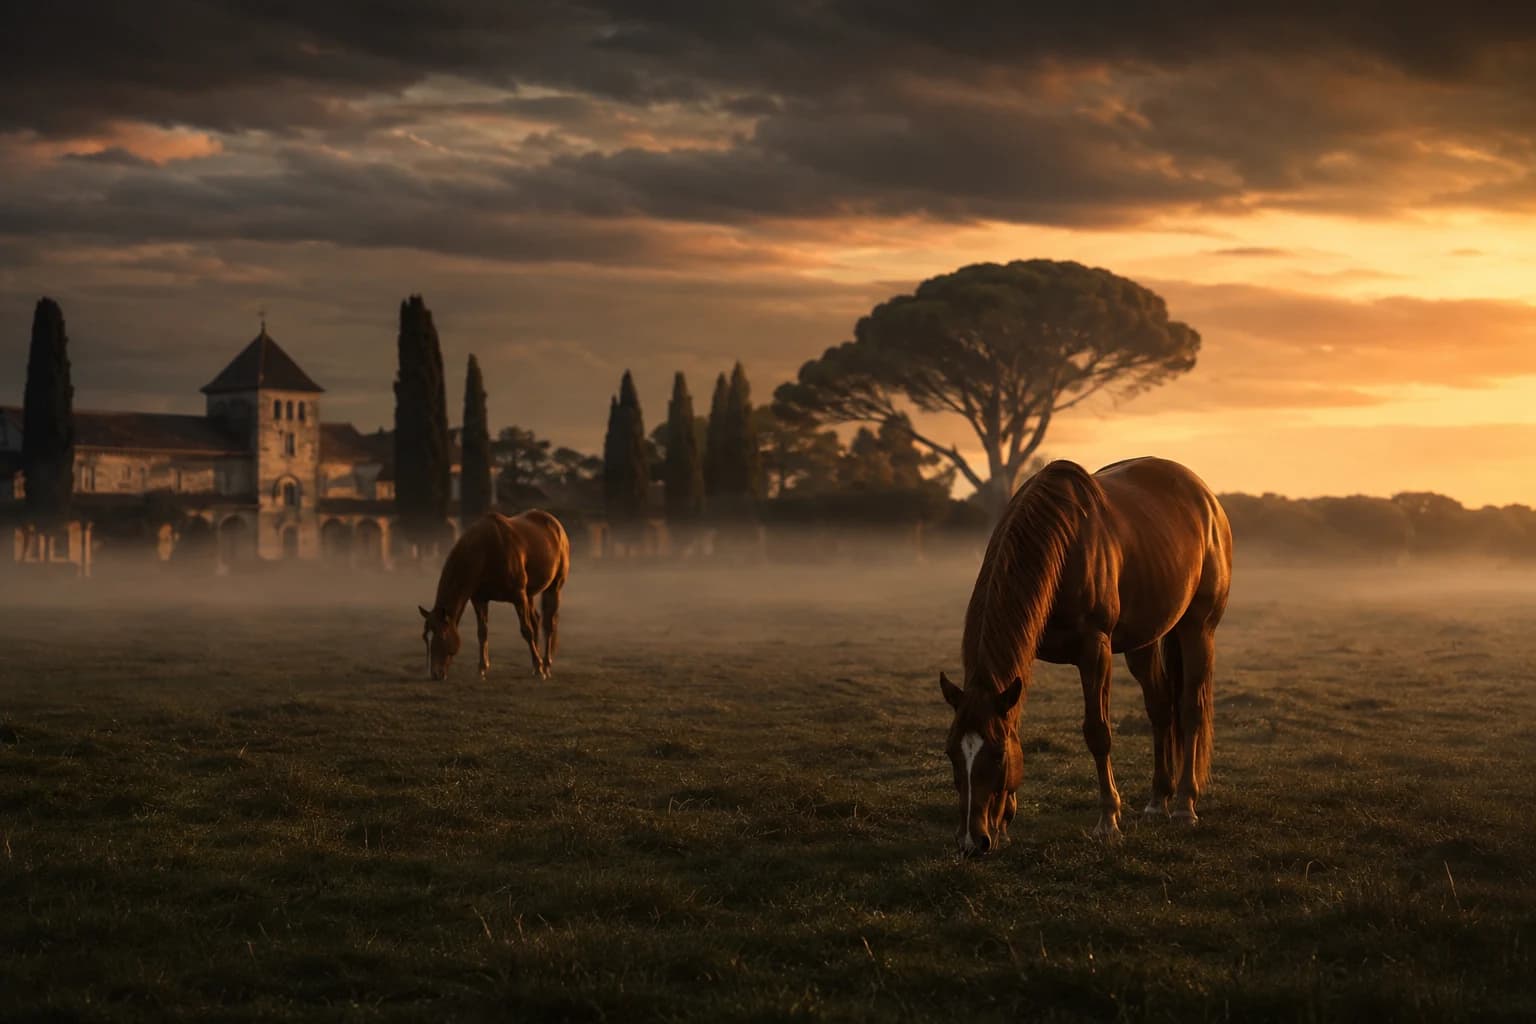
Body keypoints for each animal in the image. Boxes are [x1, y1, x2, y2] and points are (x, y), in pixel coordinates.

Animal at [418, 510, 570, 682]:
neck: (485, 553)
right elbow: (482, 632)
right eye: (425, 637)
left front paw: (539, 669)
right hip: (529, 595)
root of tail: (555, 524)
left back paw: (546, 665)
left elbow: (526, 630)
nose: (435, 674)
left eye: (443, 635)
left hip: (553, 587)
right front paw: (482, 669)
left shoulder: (518, 597)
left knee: (548, 624)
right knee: (536, 621)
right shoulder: (479, 599)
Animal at [940, 457, 1233, 857]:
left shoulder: (1095, 650)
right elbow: (1015, 721)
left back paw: (1185, 805)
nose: (972, 842)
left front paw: (1108, 820)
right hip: (1145, 640)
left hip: (1198, 629)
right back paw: (1158, 800)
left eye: (998, 755)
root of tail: (1207, 500)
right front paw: (1005, 821)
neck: (1062, 546)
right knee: (1160, 709)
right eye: (951, 752)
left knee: (1190, 711)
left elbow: (1098, 732)